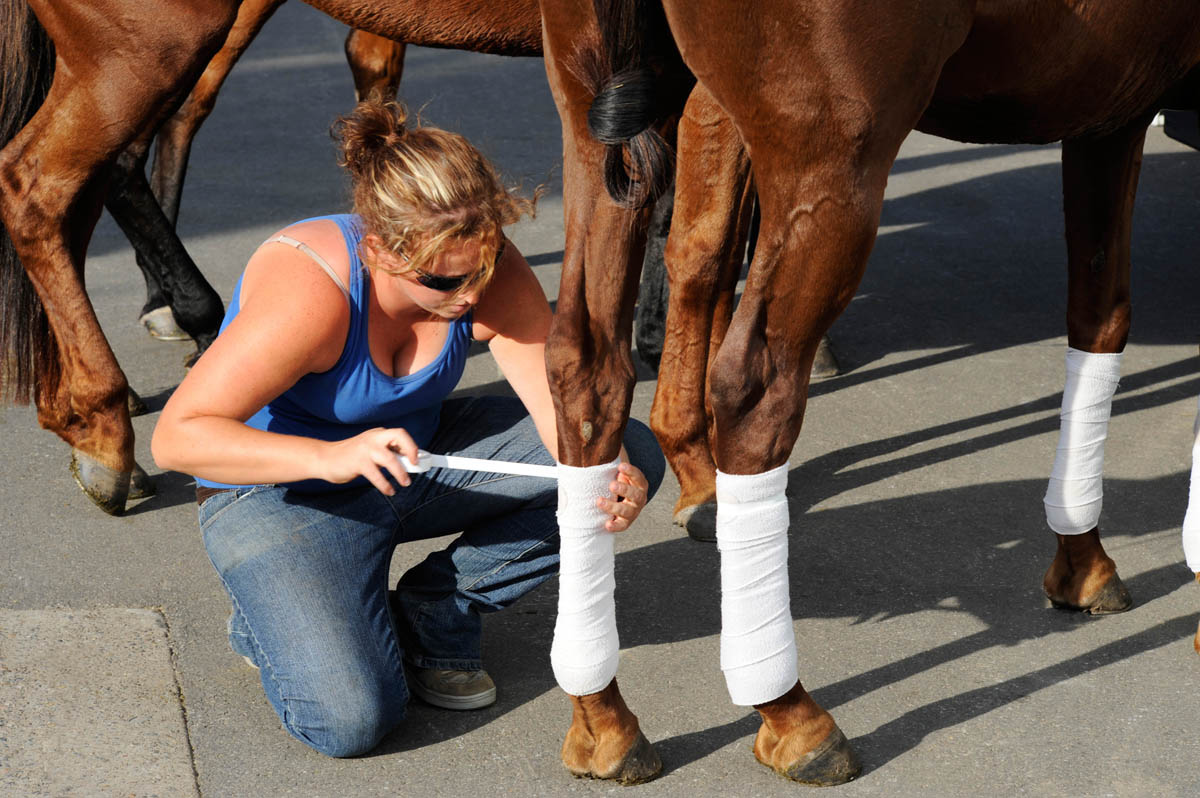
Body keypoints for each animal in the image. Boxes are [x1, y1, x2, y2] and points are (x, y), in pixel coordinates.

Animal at [537, 0, 1200, 782]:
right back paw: (788, 710)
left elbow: (1100, 320)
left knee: (587, 374)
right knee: (754, 395)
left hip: (598, 126)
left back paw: (602, 714)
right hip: (829, 166)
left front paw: (1082, 558)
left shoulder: (1109, 106)